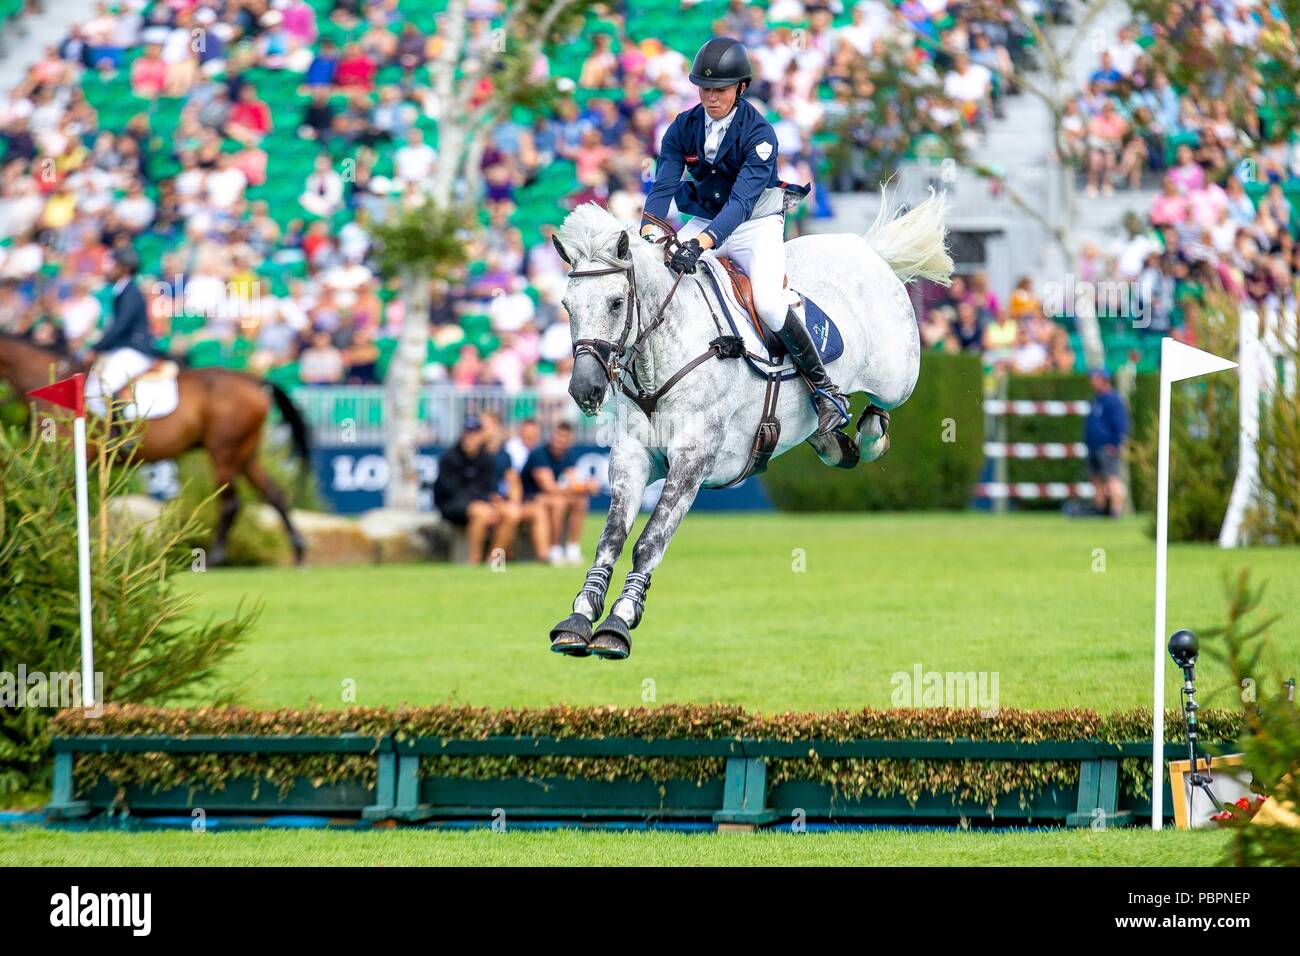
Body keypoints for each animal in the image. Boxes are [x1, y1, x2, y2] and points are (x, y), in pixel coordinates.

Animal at [0, 332, 309, 564]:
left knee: (230, 503)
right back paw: (298, 552)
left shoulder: (70, 457)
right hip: (245, 453)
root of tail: (255, 380)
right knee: (274, 495)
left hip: (224, 453)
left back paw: (216, 558)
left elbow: (70, 499)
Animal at [543, 191, 951, 660]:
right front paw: (578, 618)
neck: (657, 360)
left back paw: (859, 431)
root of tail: (866, 249)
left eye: (615, 302)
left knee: (882, 407)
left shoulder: (692, 460)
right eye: (566, 306)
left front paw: (619, 622)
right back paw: (831, 438)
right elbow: (610, 537)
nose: (584, 389)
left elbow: (650, 540)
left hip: (897, 376)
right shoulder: (633, 454)